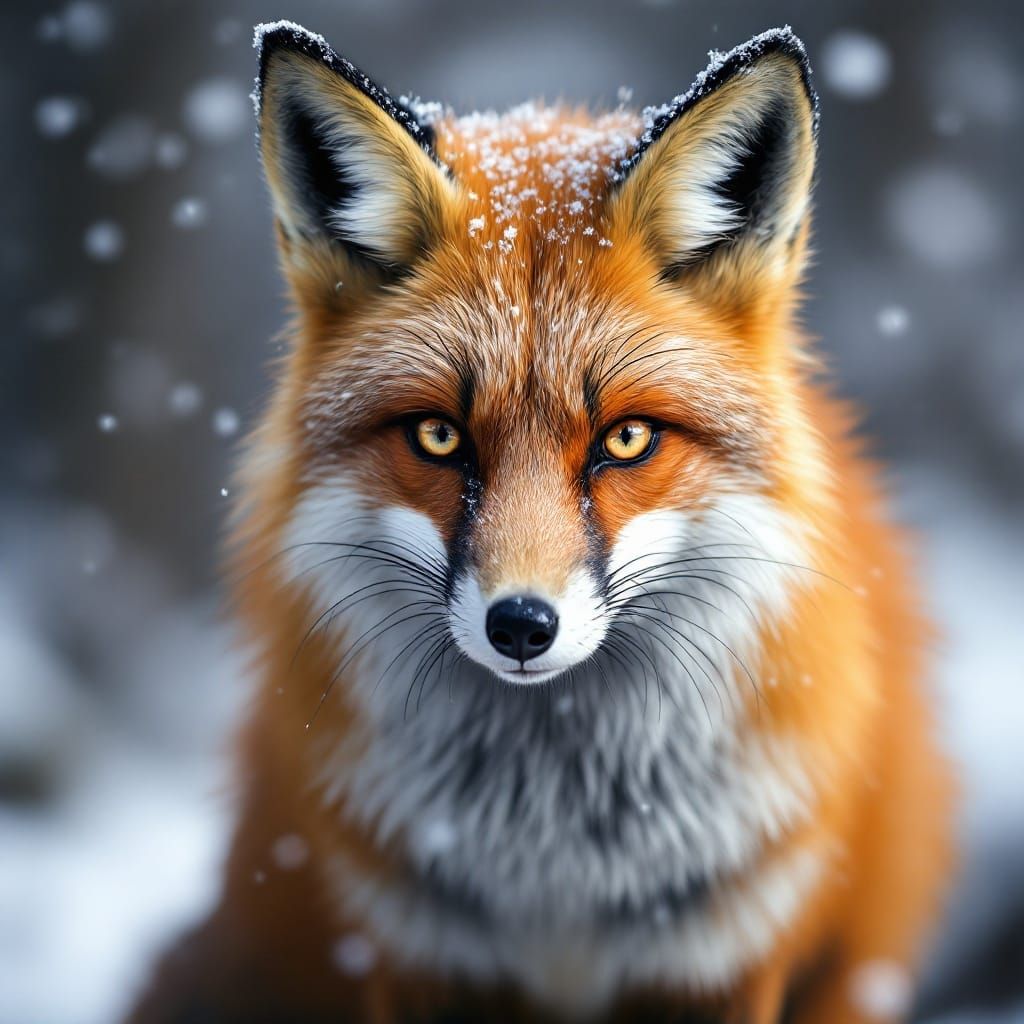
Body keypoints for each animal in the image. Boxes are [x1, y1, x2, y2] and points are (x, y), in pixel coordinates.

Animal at [128, 20, 953, 1024]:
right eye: (439, 435)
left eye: (626, 439)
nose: (521, 625)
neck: (556, 863)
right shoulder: (411, 952)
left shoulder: (728, 957)